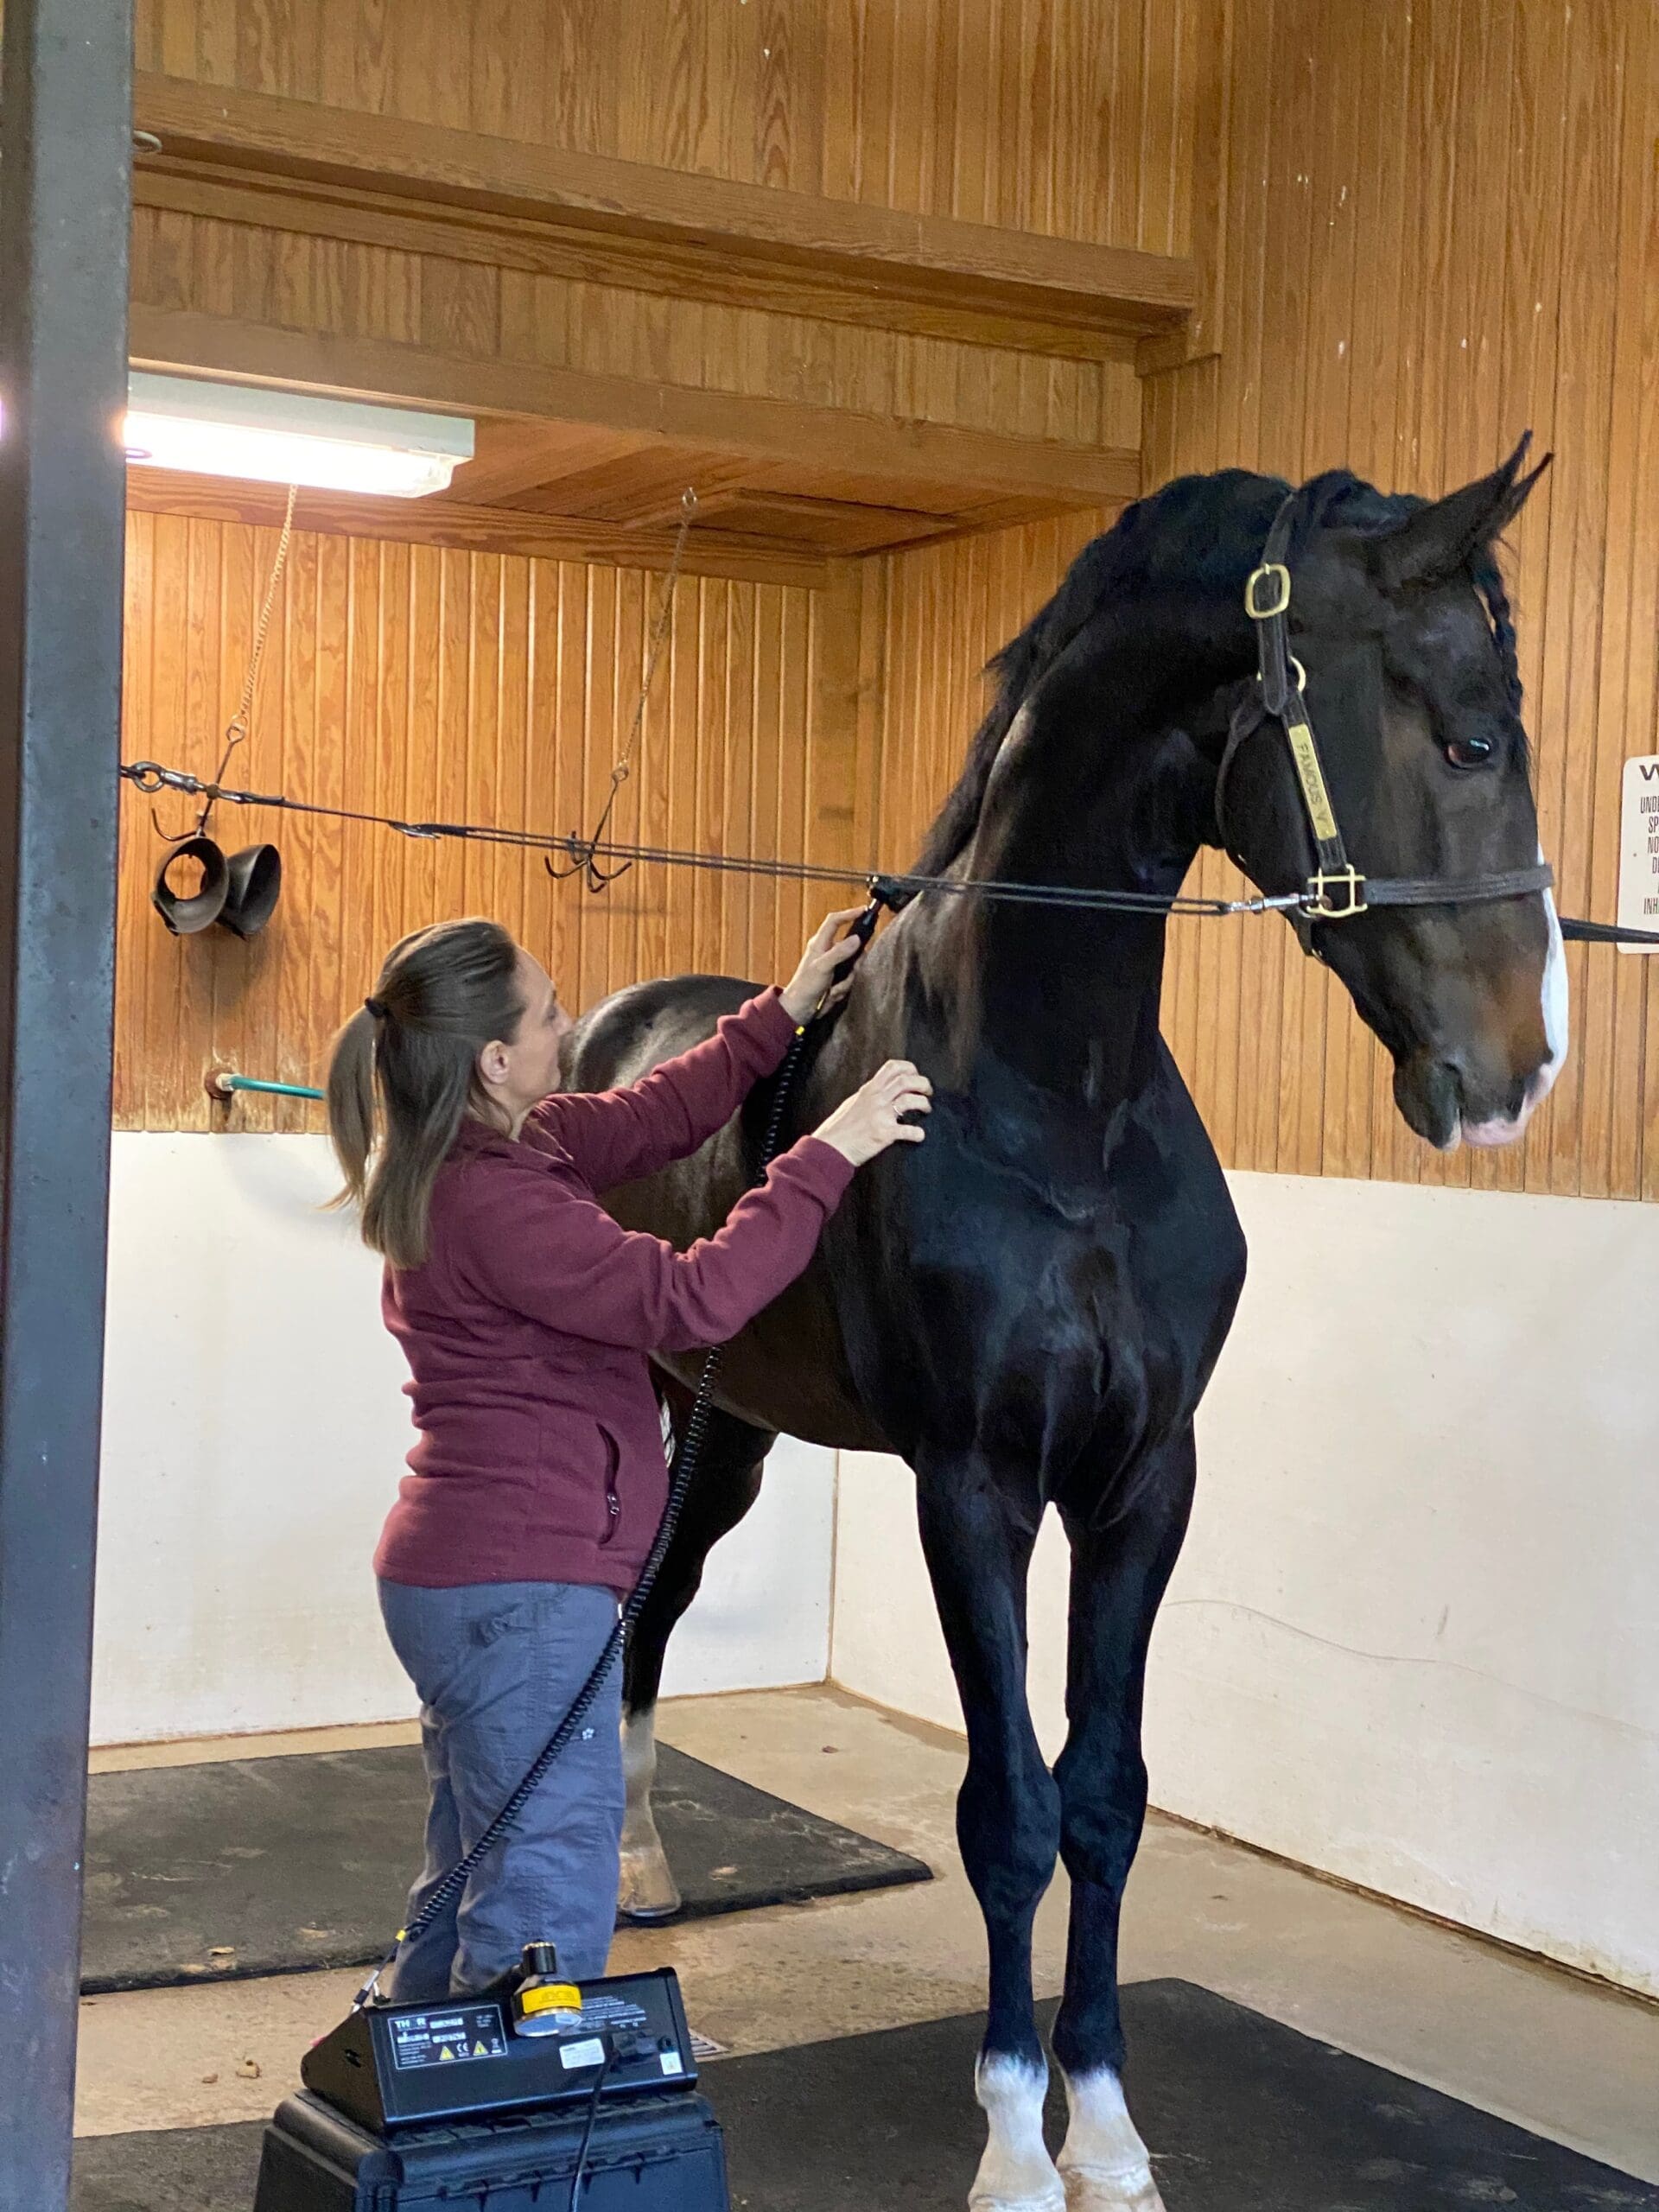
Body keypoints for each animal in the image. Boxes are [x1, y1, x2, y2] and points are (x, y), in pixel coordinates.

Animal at [562, 442, 1564, 2212]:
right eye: (1465, 735)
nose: (1524, 1068)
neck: (1055, 1107)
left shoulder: (1140, 1484)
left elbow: (1102, 1796)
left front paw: (1103, 2128)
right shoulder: (975, 1488)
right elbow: (1009, 1812)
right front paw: (1014, 2144)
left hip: (729, 1430)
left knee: (654, 1618)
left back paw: (638, 1865)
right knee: (620, 1614)